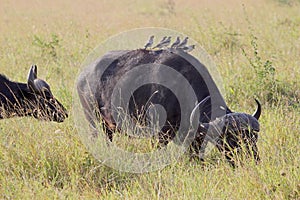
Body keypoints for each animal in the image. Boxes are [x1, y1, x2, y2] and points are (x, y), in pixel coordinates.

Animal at [78, 48, 262, 164]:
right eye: (230, 140)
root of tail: (83, 75)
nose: (252, 160)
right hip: (95, 123)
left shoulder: (195, 137)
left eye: (254, 137)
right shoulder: (158, 134)